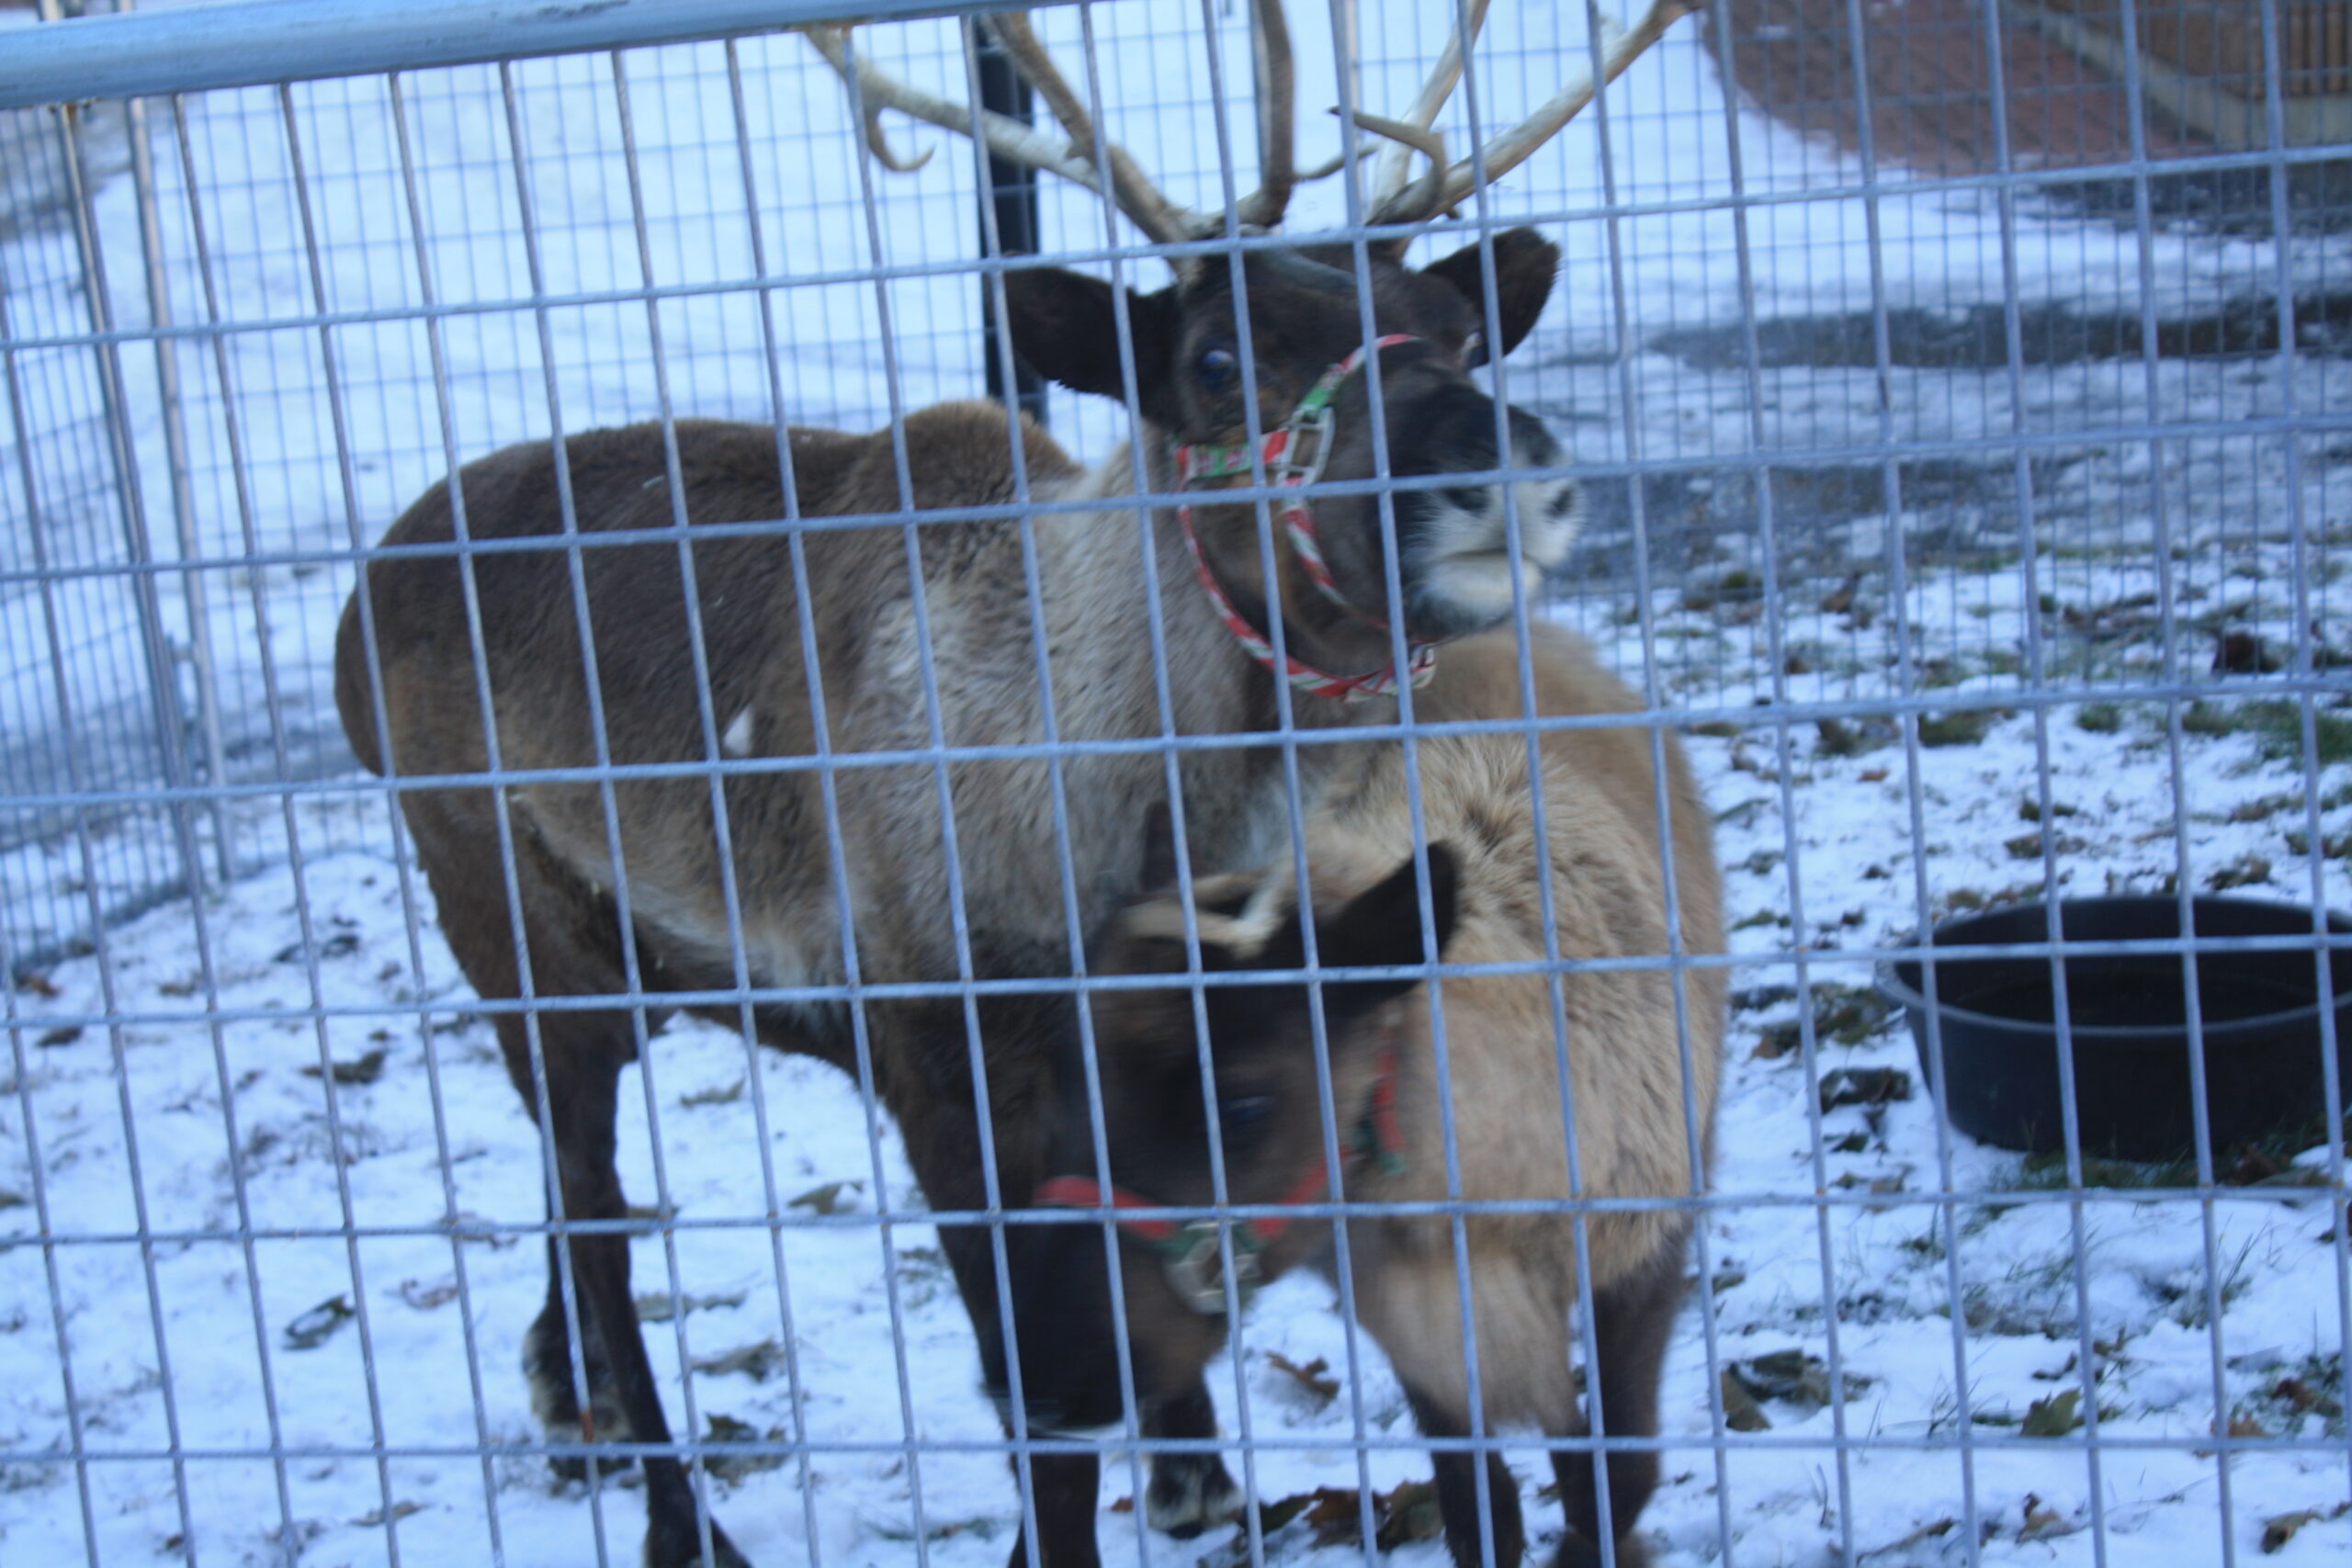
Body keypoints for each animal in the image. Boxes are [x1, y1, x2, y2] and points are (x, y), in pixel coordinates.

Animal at [1013, 683, 1725, 1568]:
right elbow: (1478, 1503)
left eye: (1240, 1106)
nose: (1039, 1385)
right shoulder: (1412, 1315)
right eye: (1065, 1083)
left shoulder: (1640, 1255)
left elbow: (1610, 1479)